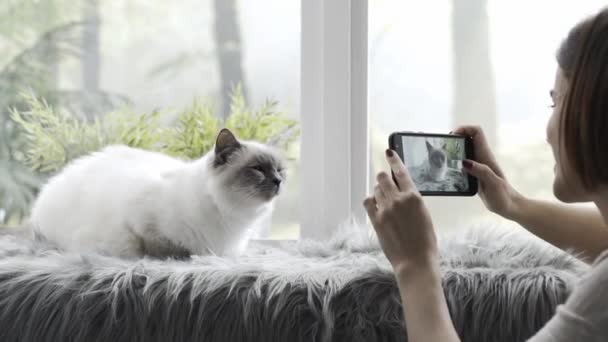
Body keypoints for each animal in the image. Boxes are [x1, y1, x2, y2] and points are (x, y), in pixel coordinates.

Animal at [28, 129, 284, 260]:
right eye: (258, 169)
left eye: (279, 170)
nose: (278, 181)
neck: (232, 215)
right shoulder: (141, 226)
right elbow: (169, 249)